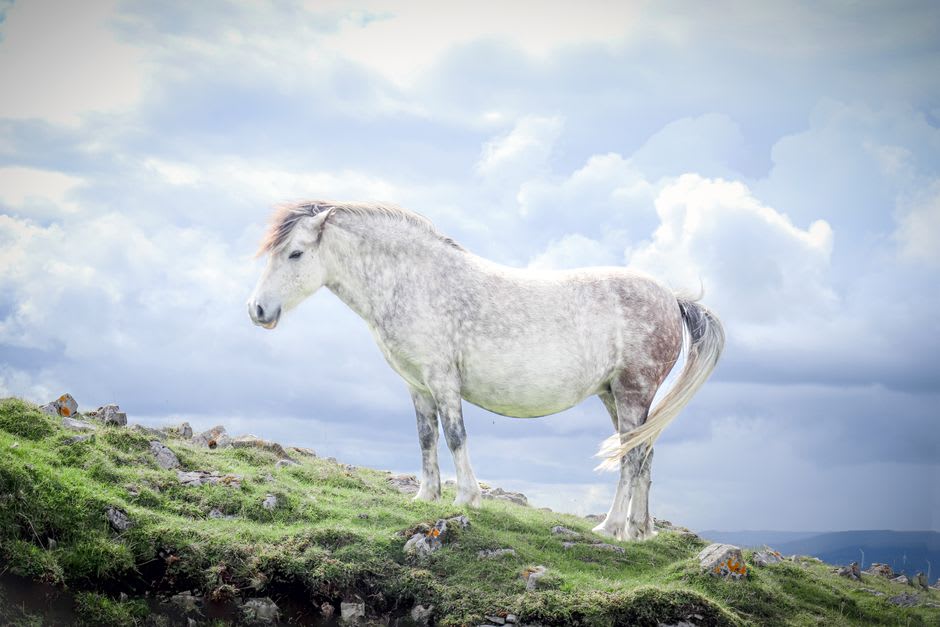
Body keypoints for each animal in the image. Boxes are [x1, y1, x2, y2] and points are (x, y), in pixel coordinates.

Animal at [247, 201, 724, 540]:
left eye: (295, 253)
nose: (257, 310)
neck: (411, 280)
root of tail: (672, 298)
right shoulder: (417, 386)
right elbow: (426, 438)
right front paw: (426, 496)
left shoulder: (443, 380)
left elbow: (455, 436)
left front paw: (467, 498)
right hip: (615, 395)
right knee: (643, 454)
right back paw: (640, 531)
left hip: (632, 391)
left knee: (631, 457)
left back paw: (610, 528)